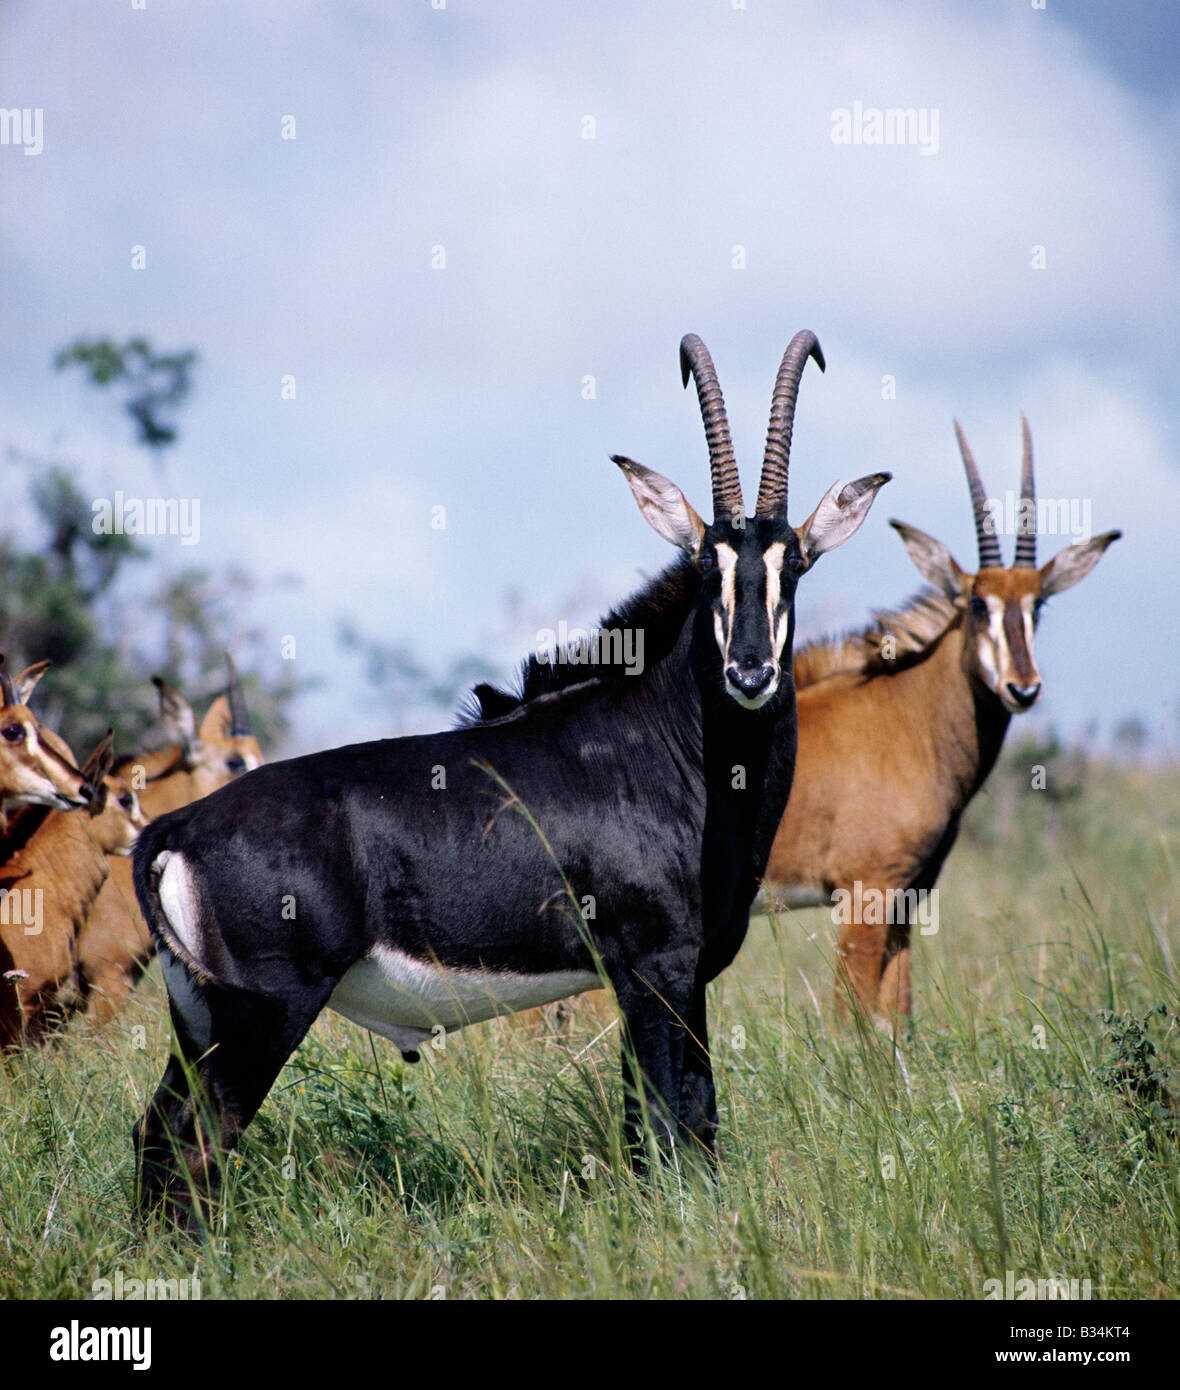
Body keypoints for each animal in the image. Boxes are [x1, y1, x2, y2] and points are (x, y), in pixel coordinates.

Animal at [133, 330, 889, 1212]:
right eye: (707, 567)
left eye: (793, 565)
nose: (750, 673)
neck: (677, 751)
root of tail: (176, 828)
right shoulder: (655, 970)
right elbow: (669, 1129)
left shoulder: (675, 977)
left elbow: (680, 1125)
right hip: (259, 1017)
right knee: (197, 1146)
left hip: (198, 1021)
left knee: (156, 1137)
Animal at [767, 414, 1117, 1023]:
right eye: (977, 603)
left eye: (1039, 605)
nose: (1022, 688)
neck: (910, 720)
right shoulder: (865, 893)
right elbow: (851, 1020)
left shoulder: (907, 897)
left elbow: (896, 1015)